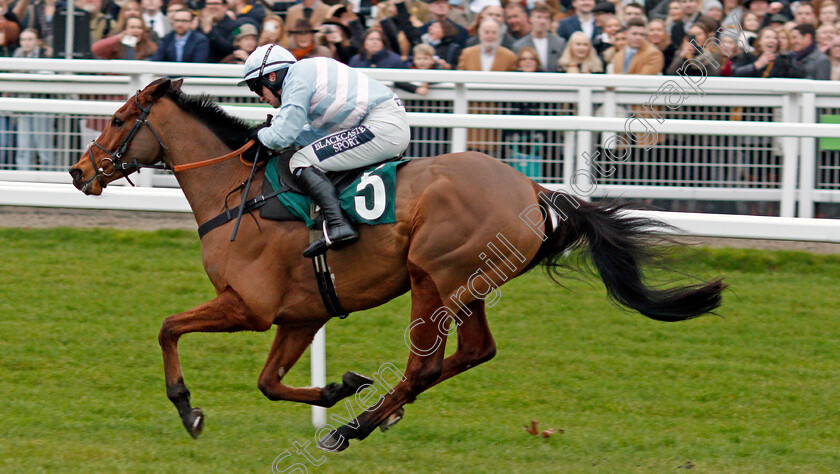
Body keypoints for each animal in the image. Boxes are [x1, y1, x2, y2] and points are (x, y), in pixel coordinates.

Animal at [69, 78, 724, 452]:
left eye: (120, 119)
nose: (79, 171)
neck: (239, 194)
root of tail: (534, 192)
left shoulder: (248, 306)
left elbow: (168, 328)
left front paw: (188, 408)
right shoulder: (299, 316)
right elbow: (269, 383)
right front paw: (339, 386)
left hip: (432, 279)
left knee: (424, 364)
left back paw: (351, 429)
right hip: (468, 286)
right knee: (472, 352)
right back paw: (373, 415)